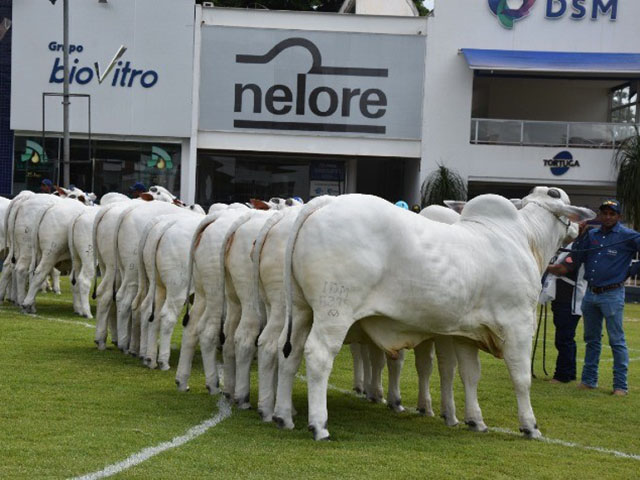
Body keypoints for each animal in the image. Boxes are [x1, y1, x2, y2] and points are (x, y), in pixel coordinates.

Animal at [280, 187, 596, 438]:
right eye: (562, 199)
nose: (577, 231)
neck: (524, 239)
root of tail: (324, 202)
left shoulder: (468, 335)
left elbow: (470, 375)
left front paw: (475, 420)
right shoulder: (517, 324)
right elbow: (521, 378)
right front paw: (530, 426)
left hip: (301, 310)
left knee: (290, 353)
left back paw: (284, 416)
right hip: (334, 311)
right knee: (318, 355)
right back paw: (319, 424)